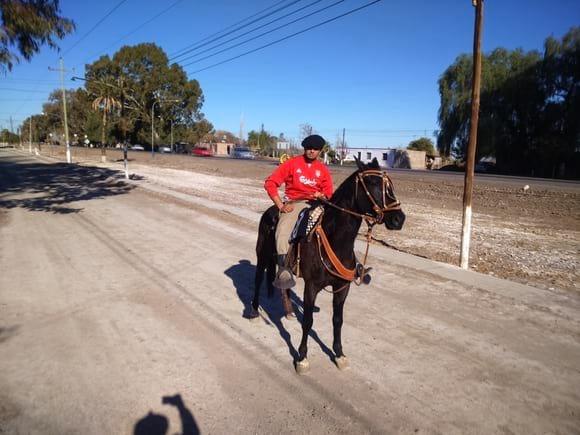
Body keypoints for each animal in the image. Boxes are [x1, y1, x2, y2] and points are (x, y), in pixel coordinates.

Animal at [251, 158, 406, 372]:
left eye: (390, 184)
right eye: (373, 183)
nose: (399, 219)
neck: (335, 240)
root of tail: (273, 210)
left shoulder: (342, 287)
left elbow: (338, 320)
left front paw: (339, 354)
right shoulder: (312, 286)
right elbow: (308, 321)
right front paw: (302, 357)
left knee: (284, 286)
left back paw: (289, 312)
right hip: (262, 256)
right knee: (258, 279)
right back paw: (253, 311)